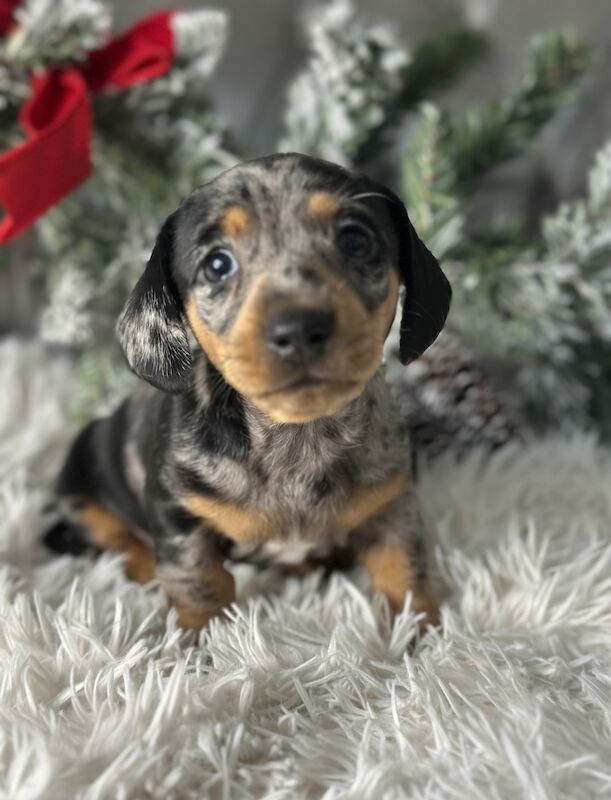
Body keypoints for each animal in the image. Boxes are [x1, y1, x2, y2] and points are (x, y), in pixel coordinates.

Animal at [45, 153, 452, 632]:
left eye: (354, 240)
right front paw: (200, 641)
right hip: (84, 487)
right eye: (217, 265)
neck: (297, 436)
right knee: (118, 538)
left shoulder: (391, 503)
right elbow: (198, 582)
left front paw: (422, 634)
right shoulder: (178, 515)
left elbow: (403, 569)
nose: (298, 328)